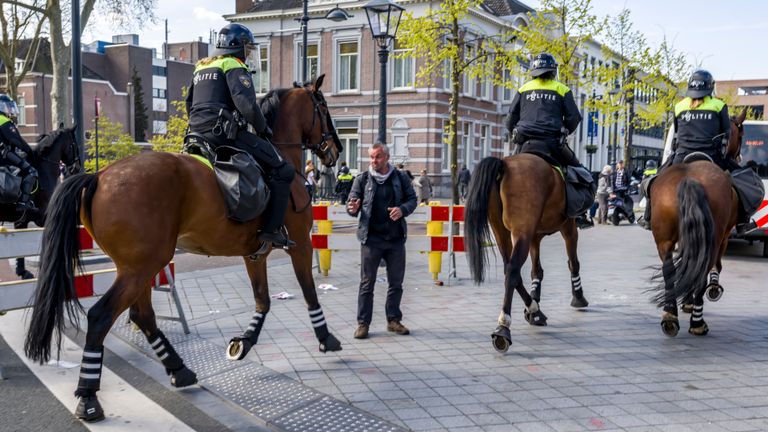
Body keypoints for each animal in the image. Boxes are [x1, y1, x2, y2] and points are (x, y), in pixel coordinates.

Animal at [0, 122, 80, 276]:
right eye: (74, 143)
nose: (76, 168)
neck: (43, 169)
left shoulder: (21, 220)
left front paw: (22, 271)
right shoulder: (43, 217)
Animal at [24, 76, 342, 420]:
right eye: (324, 108)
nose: (336, 151)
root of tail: (99, 174)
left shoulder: (254, 254)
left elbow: (263, 301)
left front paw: (243, 342)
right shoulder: (301, 244)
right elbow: (308, 291)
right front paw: (326, 338)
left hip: (139, 267)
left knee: (142, 315)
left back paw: (179, 369)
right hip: (141, 267)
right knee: (101, 316)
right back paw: (88, 397)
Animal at [462, 154, 588, 352]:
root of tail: (504, 164)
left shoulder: (535, 236)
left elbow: (536, 270)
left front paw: (535, 301)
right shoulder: (568, 226)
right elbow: (573, 262)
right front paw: (578, 296)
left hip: (502, 231)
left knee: (510, 270)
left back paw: (534, 310)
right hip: (522, 231)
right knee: (513, 270)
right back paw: (503, 327)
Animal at [648, 109, 744, 338]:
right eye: (741, 136)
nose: (738, 156)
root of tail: (690, 178)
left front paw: (686, 301)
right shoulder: (724, 237)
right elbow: (714, 266)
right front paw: (710, 290)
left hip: (664, 239)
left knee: (669, 271)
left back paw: (670, 317)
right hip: (714, 238)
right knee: (702, 271)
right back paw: (698, 323)